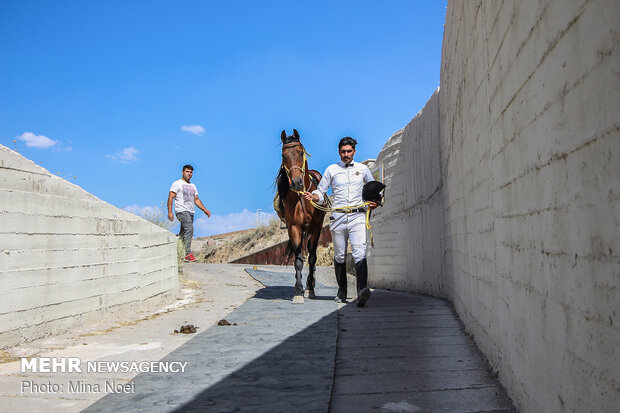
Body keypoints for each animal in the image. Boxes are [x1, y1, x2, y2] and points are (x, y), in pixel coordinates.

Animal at [274, 129, 324, 302]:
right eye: (283, 156)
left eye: (301, 152)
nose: (296, 182)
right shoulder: (294, 227)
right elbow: (298, 260)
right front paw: (297, 291)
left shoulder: (316, 229)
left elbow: (312, 258)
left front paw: (310, 289)